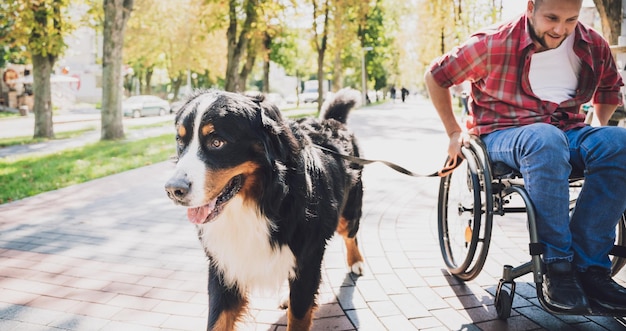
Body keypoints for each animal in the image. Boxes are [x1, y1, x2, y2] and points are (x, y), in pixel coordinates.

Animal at [163, 87, 364, 330]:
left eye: (217, 142)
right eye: (180, 141)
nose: (173, 189)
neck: (255, 204)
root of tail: (331, 121)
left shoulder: (307, 260)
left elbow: (299, 315)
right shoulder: (224, 265)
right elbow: (217, 321)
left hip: (348, 213)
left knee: (351, 234)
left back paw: (356, 262)